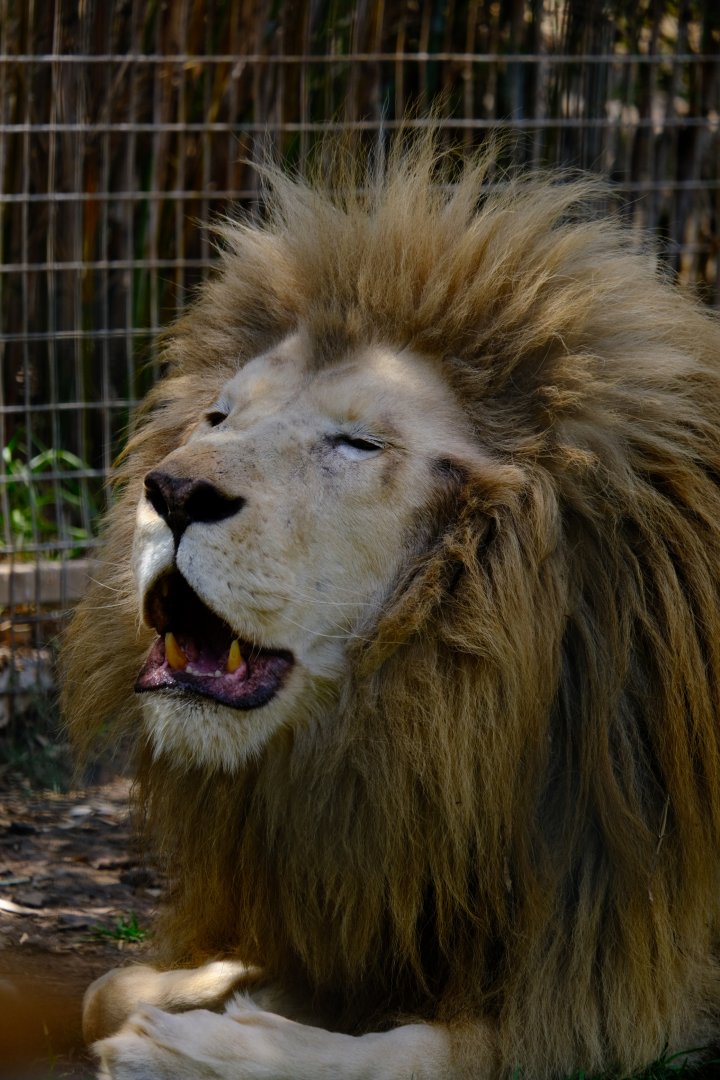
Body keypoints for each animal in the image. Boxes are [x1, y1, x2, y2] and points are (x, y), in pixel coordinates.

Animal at [62, 132, 720, 1080]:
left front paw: (197, 1047)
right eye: (217, 418)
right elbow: (105, 988)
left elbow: (417, 1053)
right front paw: (194, 994)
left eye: (357, 443)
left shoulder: (625, 980)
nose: (173, 492)